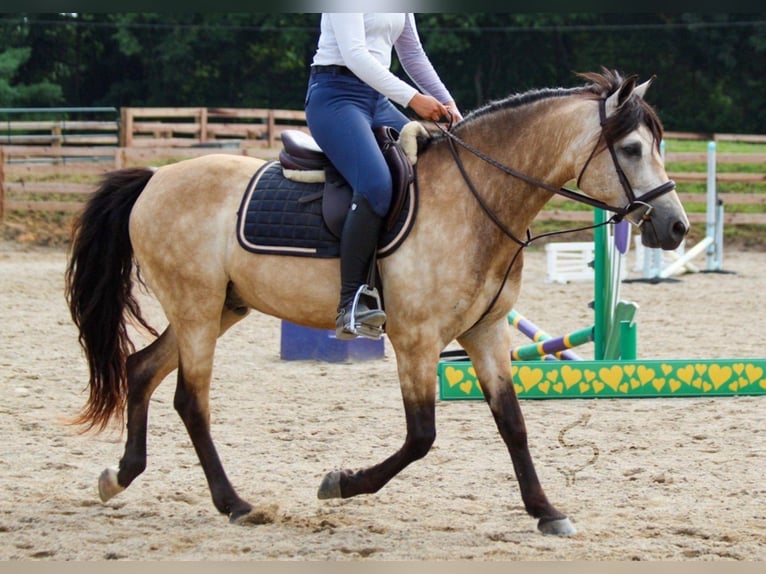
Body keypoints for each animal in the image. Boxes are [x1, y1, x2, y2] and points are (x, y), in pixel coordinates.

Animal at [64, 70, 688, 536]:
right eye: (632, 149)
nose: (676, 226)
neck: (475, 200)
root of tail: (153, 179)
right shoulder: (416, 340)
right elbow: (422, 436)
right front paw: (340, 484)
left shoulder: (486, 333)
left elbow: (512, 422)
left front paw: (546, 511)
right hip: (196, 309)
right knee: (190, 402)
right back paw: (234, 503)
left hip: (220, 308)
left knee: (140, 369)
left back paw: (120, 477)